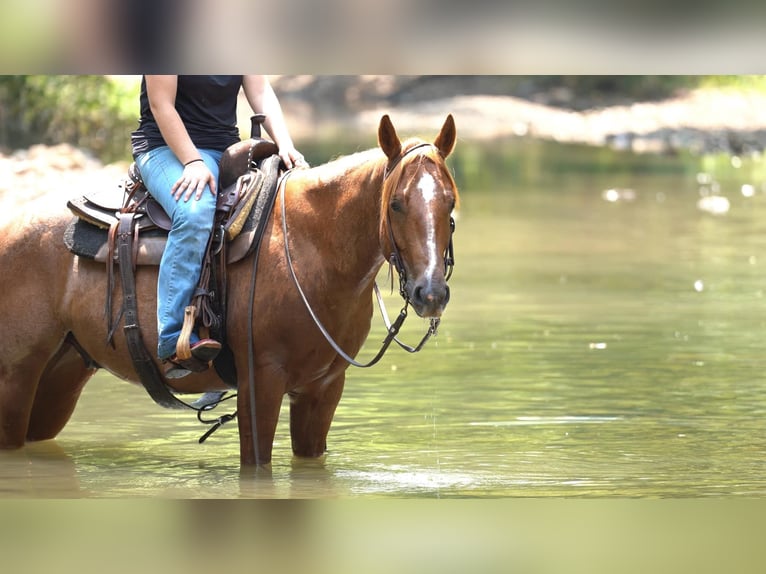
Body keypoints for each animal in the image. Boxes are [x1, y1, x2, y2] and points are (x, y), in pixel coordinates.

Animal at [0, 114, 459, 466]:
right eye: (396, 204)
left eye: (450, 203)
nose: (430, 293)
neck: (310, 246)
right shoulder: (261, 383)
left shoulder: (324, 388)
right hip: (14, 378)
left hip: (62, 373)